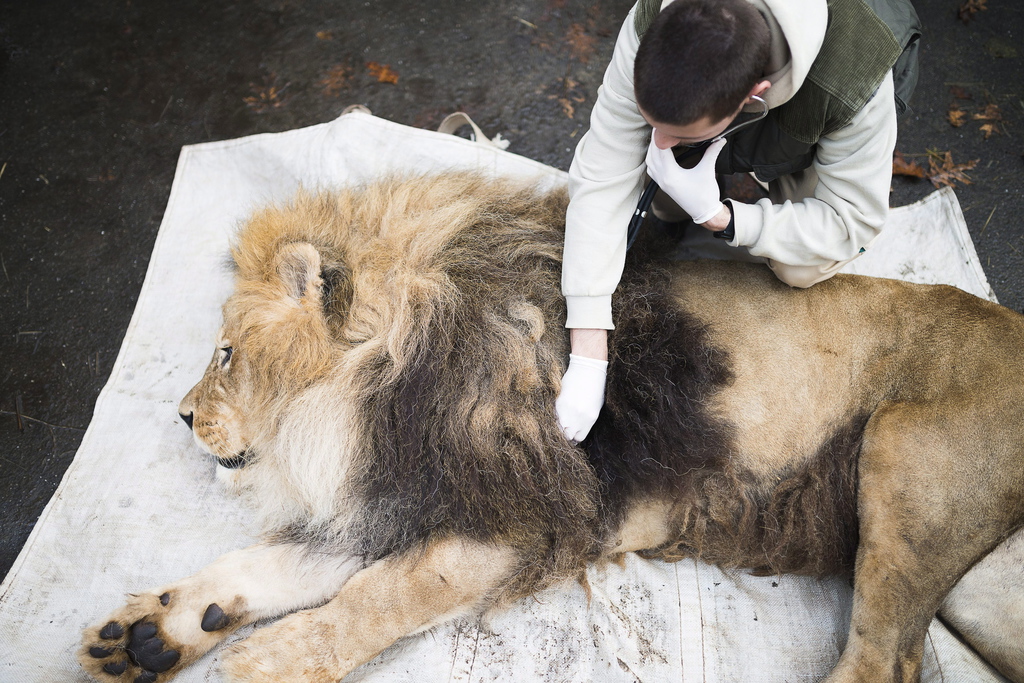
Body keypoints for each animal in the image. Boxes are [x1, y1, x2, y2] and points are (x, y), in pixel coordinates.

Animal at [79, 172, 1024, 683]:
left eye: (226, 352)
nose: (182, 415)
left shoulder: (522, 520)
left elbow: (374, 597)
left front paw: (265, 659)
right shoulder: (398, 493)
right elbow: (272, 564)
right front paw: (157, 632)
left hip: (905, 455)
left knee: (882, 661)